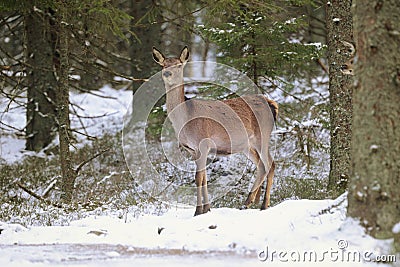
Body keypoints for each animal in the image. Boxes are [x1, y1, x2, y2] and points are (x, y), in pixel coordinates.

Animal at [153, 46, 278, 217]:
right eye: (163, 65)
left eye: (178, 65)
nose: (167, 73)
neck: (185, 119)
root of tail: (270, 103)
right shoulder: (192, 150)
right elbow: (204, 178)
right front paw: (207, 208)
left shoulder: (203, 143)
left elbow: (198, 178)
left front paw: (198, 210)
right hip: (247, 145)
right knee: (261, 166)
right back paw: (250, 201)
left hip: (263, 136)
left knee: (271, 164)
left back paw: (263, 204)